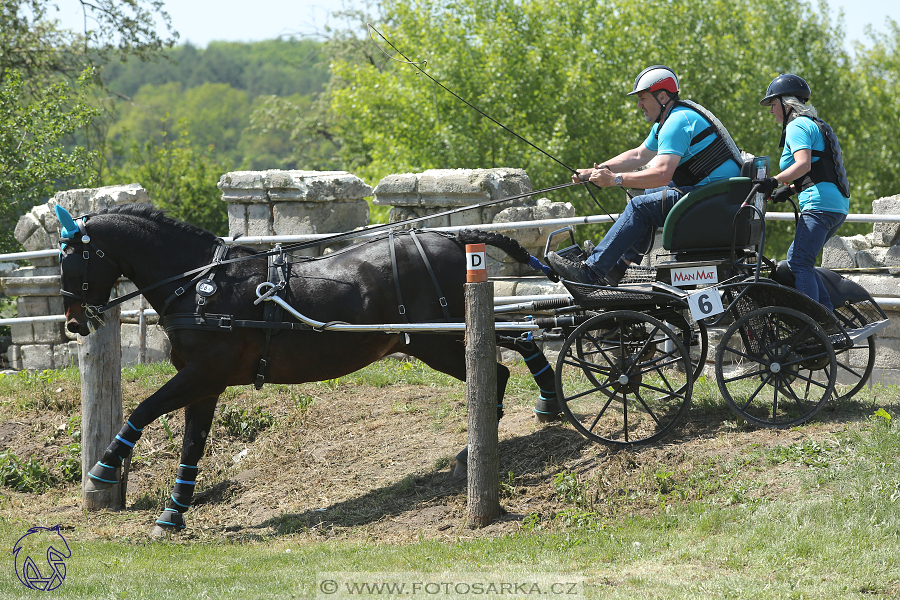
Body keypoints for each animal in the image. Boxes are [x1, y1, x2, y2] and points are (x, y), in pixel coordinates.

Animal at [54, 204, 556, 532]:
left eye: (70, 259)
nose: (74, 322)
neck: (201, 286)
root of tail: (453, 238)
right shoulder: (206, 385)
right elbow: (191, 446)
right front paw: (173, 513)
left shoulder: (201, 374)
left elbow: (142, 410)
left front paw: (103, 470)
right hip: (442, 337)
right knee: (520, 342)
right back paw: (545, 396)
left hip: (437, 341)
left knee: (495, 371)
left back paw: (477, 449)